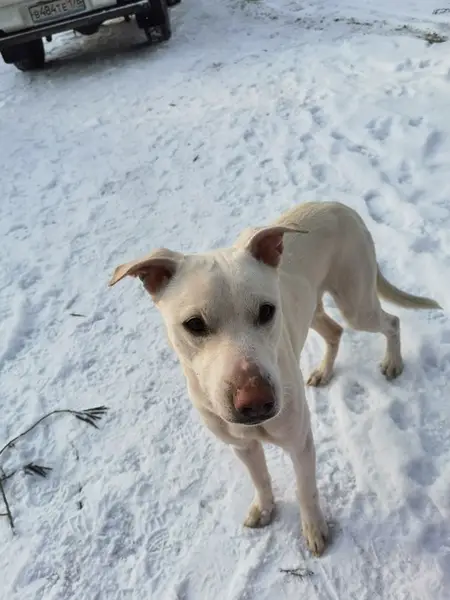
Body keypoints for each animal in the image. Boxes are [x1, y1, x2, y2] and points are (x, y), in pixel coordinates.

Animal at [109, 201, 441, 556]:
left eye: (266, 311)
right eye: (194, 324)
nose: (256, 402)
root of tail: (339, 205)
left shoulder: (301, 443)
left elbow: (306, 489)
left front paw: (314, 530)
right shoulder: (242, 445)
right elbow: (260, 478)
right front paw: (265, 508)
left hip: (356, 304)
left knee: (390, 322)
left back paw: (393, 362)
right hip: (313, 309)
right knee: (335, 332)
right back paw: (323, 371)